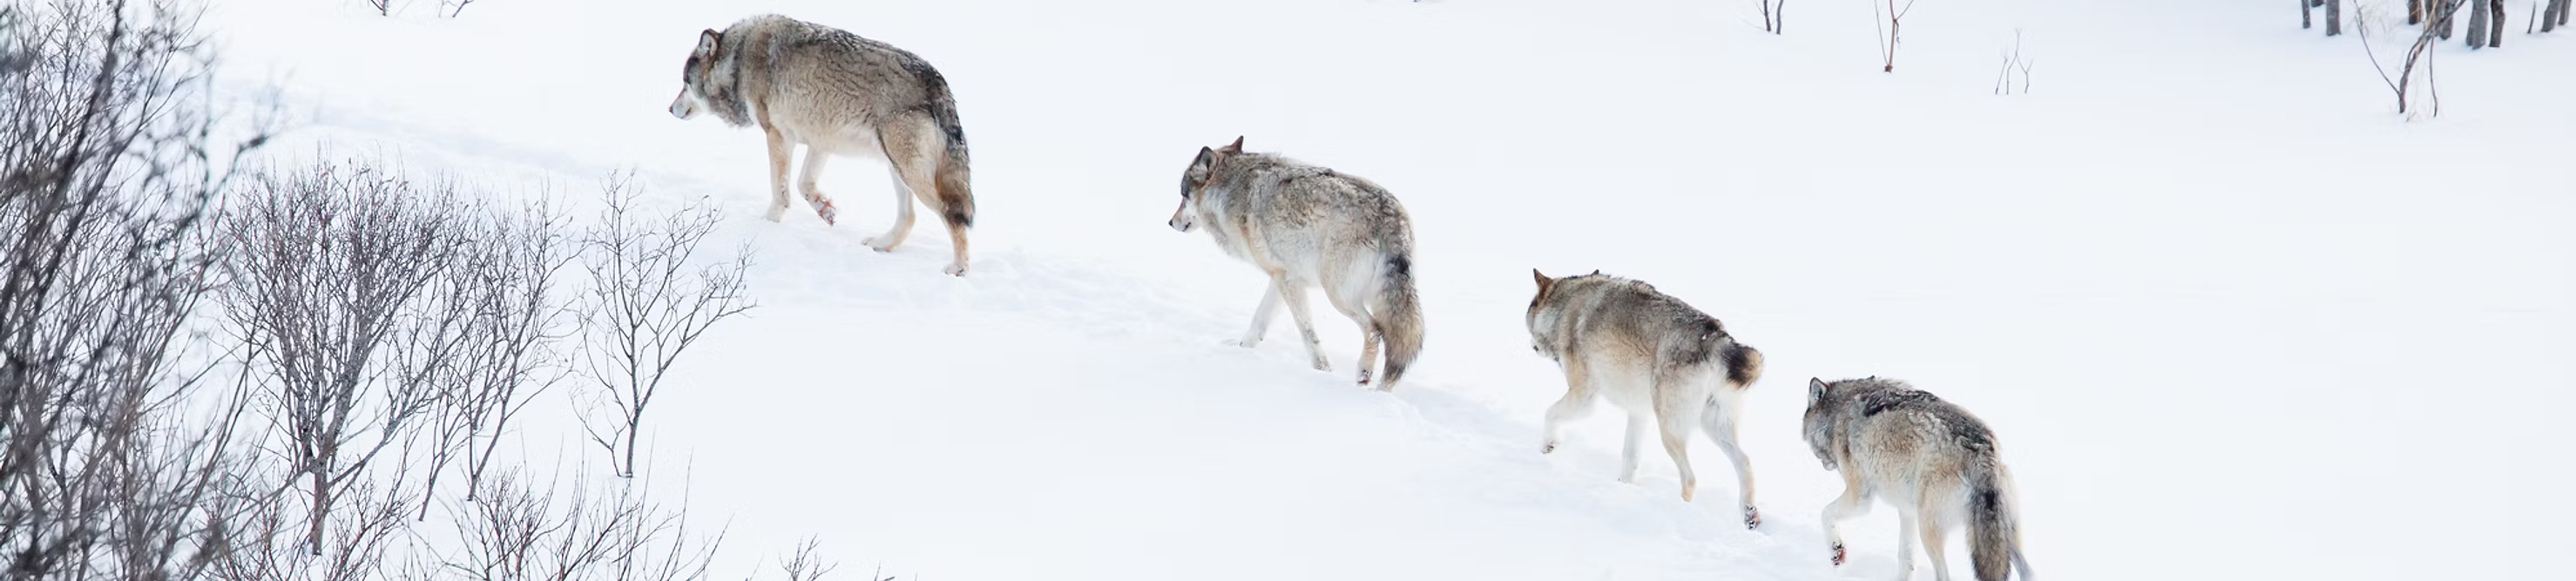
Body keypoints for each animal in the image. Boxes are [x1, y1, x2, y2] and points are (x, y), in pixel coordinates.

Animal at [668, 14, 977, 276]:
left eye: (685, 82)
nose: (670, 109)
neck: (738, 60)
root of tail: (937, 82)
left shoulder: (778, 135)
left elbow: (780, 190)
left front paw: (767, 224)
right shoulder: (820, 142)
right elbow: (803, 185)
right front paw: (824, 209)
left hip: (908, 171)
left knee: (951, 214)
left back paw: (958, 269)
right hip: (896, 168)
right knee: (909, 218)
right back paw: (880, 243)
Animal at [1166, 137, 1424, 391]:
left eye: (1183, 196)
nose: (1170, 222)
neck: (1231, 191)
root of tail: (1392, 216)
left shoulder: (1288, 281)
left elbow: (1307, 332)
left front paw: (1322, 370)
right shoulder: (1282, 276)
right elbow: (1259, 320)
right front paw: (1240, 349)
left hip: (1338, 295)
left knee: (1375, 330)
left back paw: (1364, 378)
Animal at [1525, 270, 1766, 528]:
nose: (1531, 346)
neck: (1564, 309)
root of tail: (1714, 335)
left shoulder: (1583, 398)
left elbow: (1550, 413)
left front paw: (1547, 446)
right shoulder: (1638, 412)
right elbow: (1630, 460)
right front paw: (1622, 489)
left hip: (1669, 431)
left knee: (1690, 478)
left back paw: (1680, 511)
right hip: (1712, 426)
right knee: (1745, 463)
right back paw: (1749, 515)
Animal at [1803, 377, 2036, 581]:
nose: (1825, 465)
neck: (1838, 414)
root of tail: (1982, 452)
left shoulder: (1861, 497)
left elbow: (1825, 513)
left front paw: (1836, 551)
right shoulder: (1906, 511)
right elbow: (1906, 560)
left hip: (1930, 530)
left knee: (1944, 576)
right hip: (2001, 535)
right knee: (2028, 571)